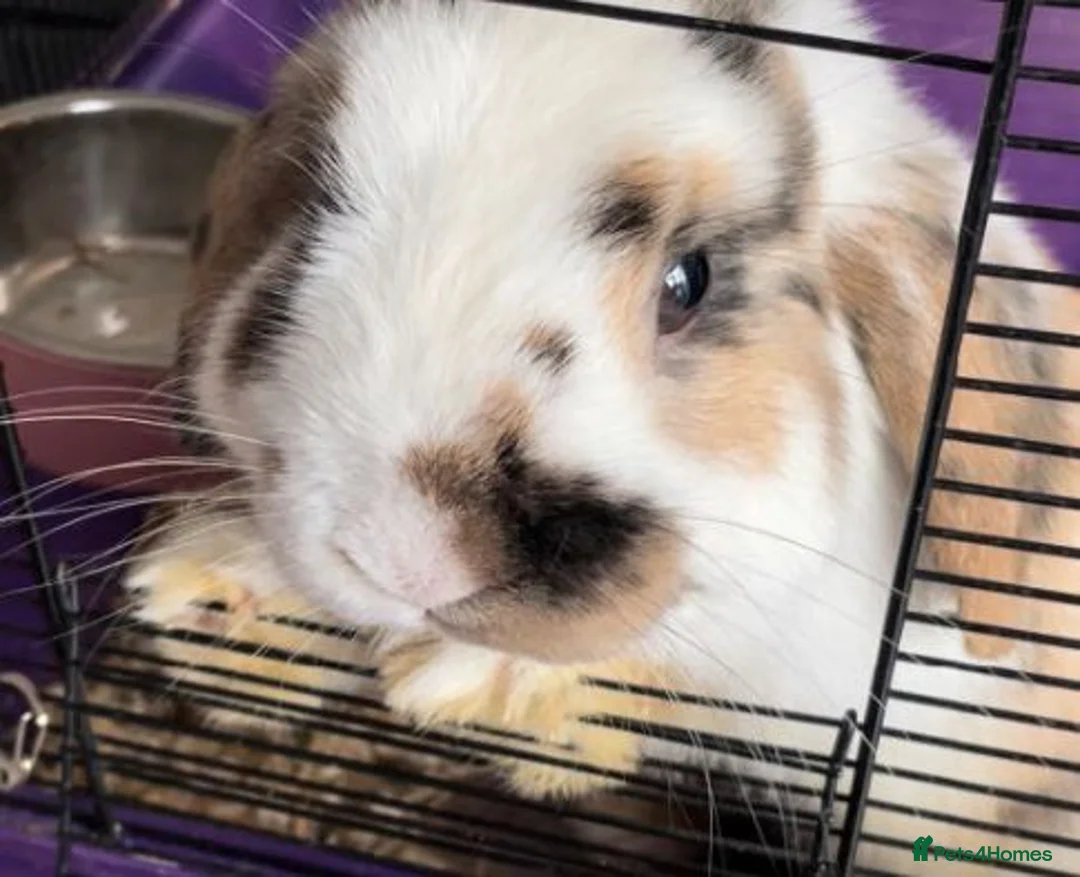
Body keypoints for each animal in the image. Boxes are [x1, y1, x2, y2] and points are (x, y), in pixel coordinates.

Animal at [121, 0, 1080, 873]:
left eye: (690, 281)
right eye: (311, 226)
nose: (409, 555)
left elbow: (675, 675)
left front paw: (477, 682)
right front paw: (214, 593)